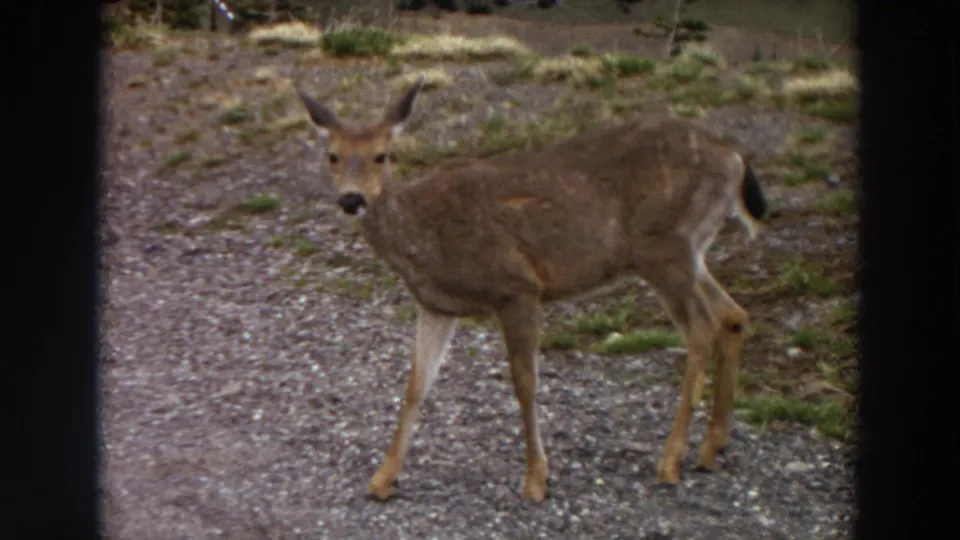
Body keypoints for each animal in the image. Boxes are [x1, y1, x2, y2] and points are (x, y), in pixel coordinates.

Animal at [295, 74, 768, 502]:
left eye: (381, 156)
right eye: (332, 156)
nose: (352, 199)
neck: (423, 234)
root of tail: (735, 158)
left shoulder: (517, 286)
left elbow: (525, 382)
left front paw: (536, 479)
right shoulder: (437, 306)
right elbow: (416, 386)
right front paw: (382, 479)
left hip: (664, 247)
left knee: (702, 328)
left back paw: (671, 461)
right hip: (688, 252)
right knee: (732, 314)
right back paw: (711, 448)